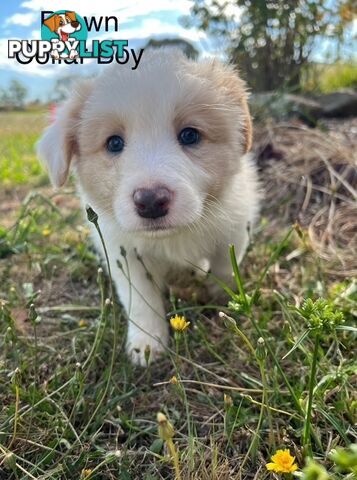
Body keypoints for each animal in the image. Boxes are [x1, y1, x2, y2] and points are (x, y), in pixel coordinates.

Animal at [36, 49, 258, 364]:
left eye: (190, 135)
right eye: (114, 143)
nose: (151, 201)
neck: (173, 239)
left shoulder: (234, 230)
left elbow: (225, 268)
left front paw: (228, 300)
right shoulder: (124, 254)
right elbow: (141, 300)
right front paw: (147, 343)